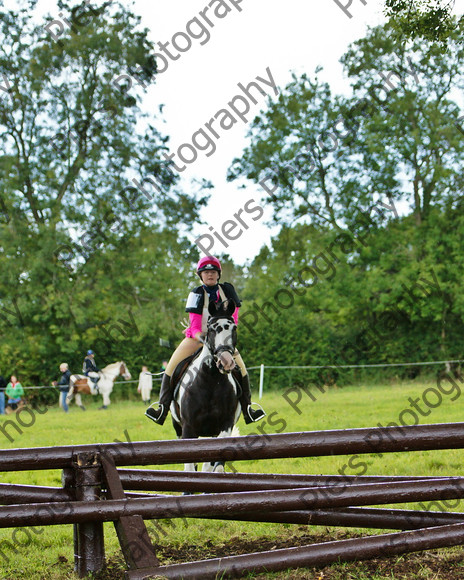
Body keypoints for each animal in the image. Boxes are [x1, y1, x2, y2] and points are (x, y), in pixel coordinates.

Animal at [172, 300, 241, 472]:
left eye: (234, 328)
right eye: (211, 329)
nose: (226, 362)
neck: (210, 381)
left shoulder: (224, 426)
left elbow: (215, 466)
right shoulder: (188, 429)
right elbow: (190, 467)